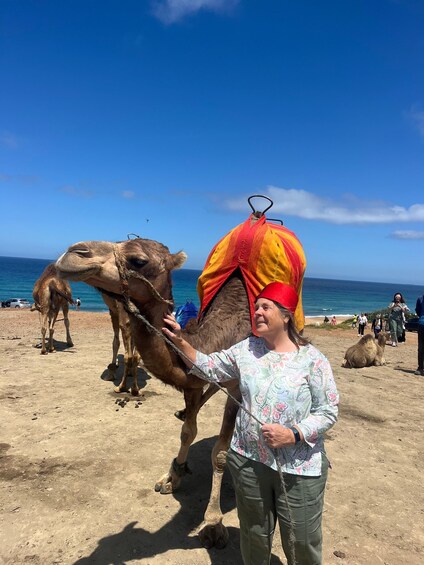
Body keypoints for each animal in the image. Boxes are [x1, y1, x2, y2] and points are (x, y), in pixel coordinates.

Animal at [56, 215, 306, 548]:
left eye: (138, 260)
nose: (73, 252)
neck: (220, 333)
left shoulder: (237, 383)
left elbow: (221, 453)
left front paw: (213, 521)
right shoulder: (194, 378)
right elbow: (188, 430)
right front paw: (173, 475)